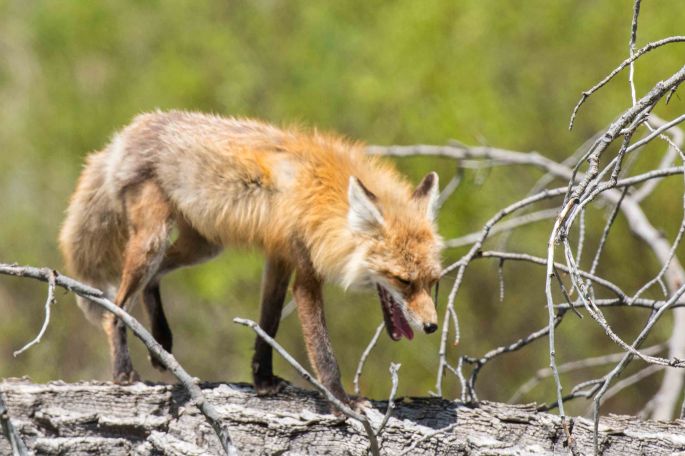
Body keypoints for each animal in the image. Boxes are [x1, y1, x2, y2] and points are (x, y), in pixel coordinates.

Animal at [58, 110, 443, 406]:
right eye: (403, 281)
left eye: (432, 282)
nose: (432, 327)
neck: (323, 196)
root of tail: (128, 133)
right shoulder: (305, 272)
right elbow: (323, 350)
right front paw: (342, 401)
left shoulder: (279, 257)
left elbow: (268, 323)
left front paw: (264, 381)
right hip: (153, 241)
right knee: (116, 309)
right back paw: (124, 371)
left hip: (202, 247)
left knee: (152, 282)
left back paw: (160, 344)